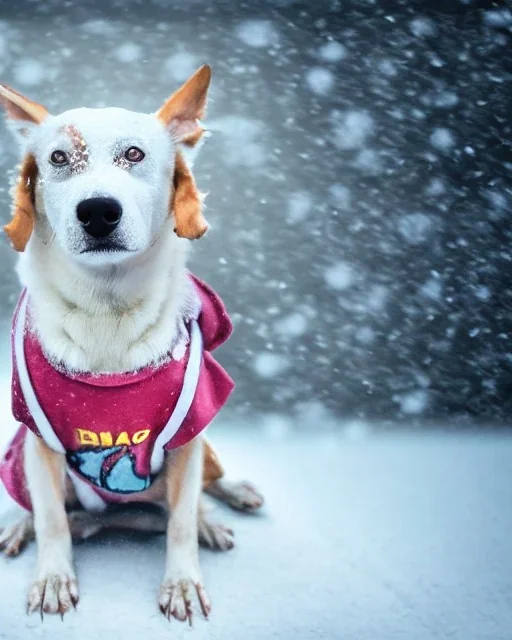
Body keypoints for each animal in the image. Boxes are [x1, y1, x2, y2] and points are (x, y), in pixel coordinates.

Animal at [0, 66, 264, 624]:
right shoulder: (38, 436)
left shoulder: (190, 429)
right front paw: (52, 577)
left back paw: (220, 507)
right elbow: (52, 518)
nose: (98, 211)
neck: (108, 313)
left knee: (204, 487)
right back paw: (21, 523)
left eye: (135, 154)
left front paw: (183, 582)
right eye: (58, 159)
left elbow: (180, 522)